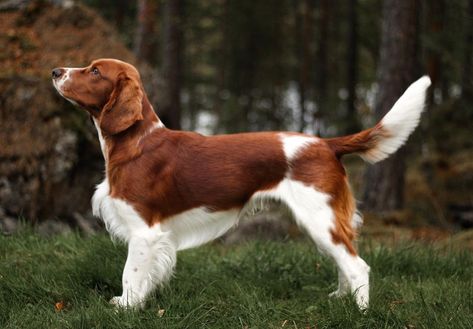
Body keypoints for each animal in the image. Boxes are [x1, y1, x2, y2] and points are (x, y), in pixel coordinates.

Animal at [50, 58, 428, 308]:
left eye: (94, 71)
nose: (55, 71)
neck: (136, 142)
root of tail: (326, 144)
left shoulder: (144, 230)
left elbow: (130, 274)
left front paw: (126, 308)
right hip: (324, 220)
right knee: (344, 261)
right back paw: (338, 298)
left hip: (320, 217)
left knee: (357, 265)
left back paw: (359, 312)